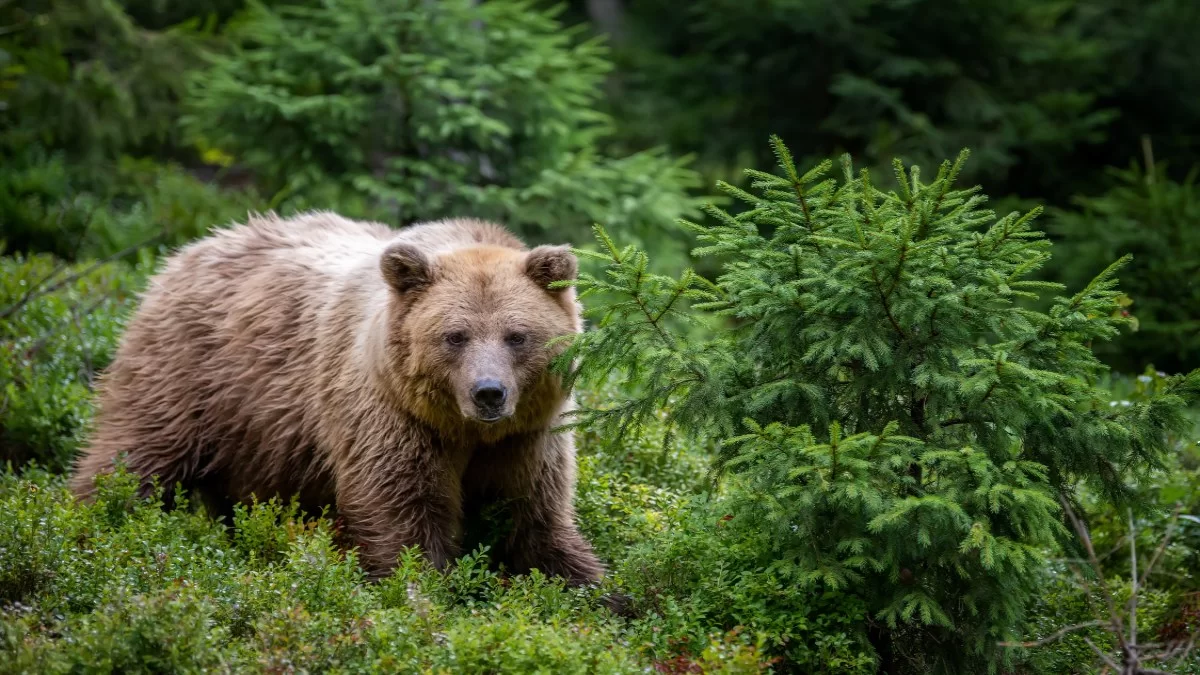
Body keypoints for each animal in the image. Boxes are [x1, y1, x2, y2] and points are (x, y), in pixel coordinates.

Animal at [70, 211, 604, 583]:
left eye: (517, 336)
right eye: (455, 336)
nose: (488, 393)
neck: (463, 430)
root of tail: (187, 250)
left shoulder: (528, 436)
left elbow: (534, 517)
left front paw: (595, 588)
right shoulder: (389, 415)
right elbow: (401, 510)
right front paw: (421, 588)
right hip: (191, 375)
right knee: (134, 454)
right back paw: (91, 520)